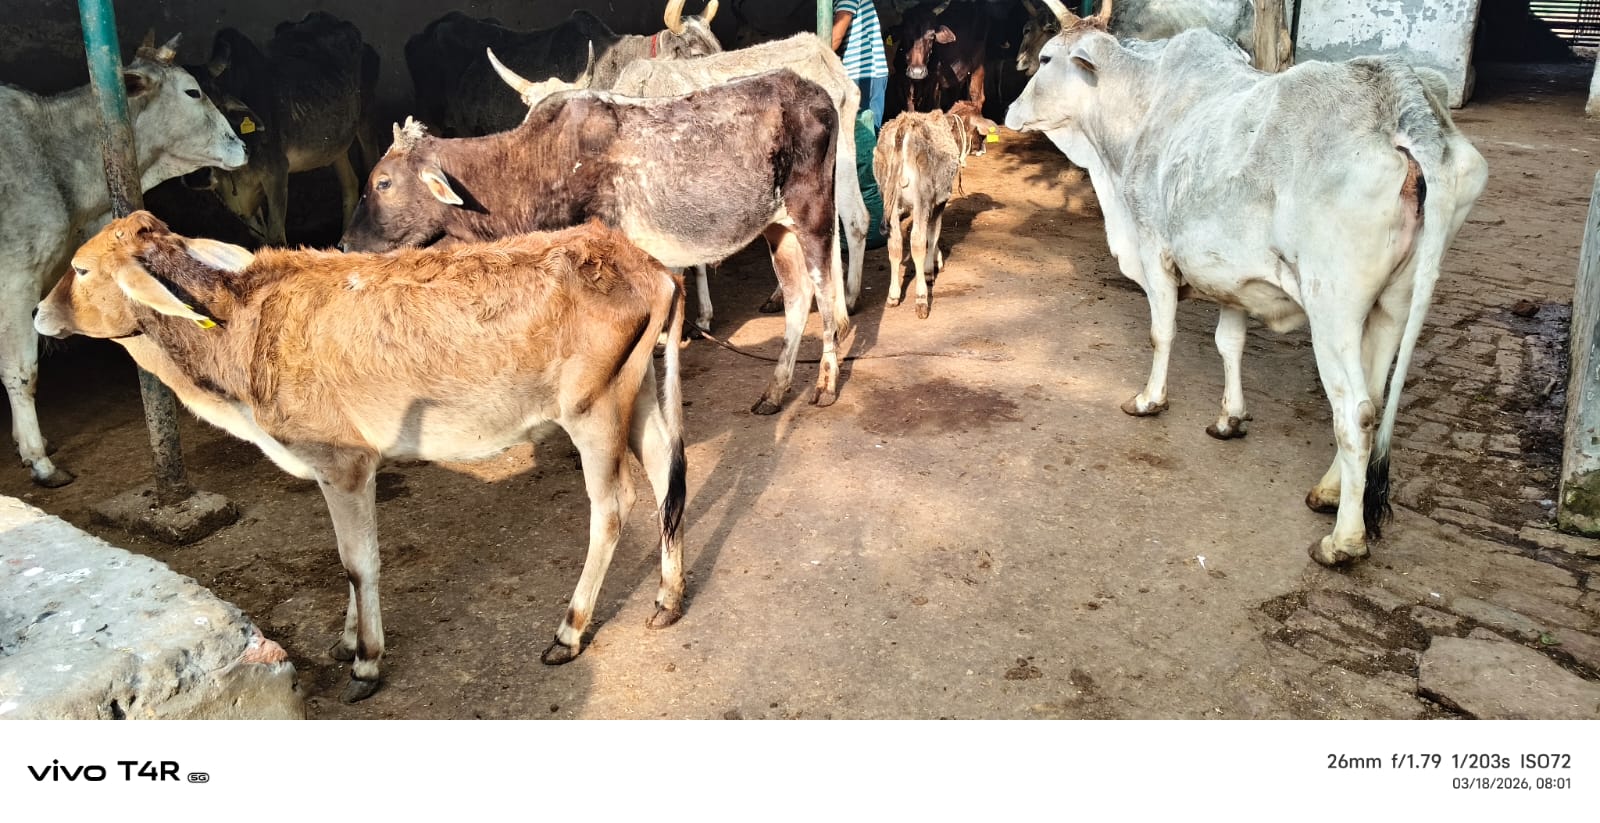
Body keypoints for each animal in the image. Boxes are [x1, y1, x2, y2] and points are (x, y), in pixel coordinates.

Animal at [35, 211, 689, 703]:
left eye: (80, 268)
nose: (38, 313)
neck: (240, 330)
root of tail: (650, 266)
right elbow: (347, 561)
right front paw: (349, 639)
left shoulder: (343, 464)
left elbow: (357, 563)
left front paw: (367, 662)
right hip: (635, 397)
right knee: (666, 475)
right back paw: (667, 598)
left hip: (593, 409)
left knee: (614, 505)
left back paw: (570, 631)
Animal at [183, 13, 378, 244]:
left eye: (217, 108)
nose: (197, 175)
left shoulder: (276, 174)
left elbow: (276, 238)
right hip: (336, 143)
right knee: (350, 184)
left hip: (365, 120)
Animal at [340, 69, 848, 416]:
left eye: (383, 182)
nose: (344, 244)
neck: (536, 163)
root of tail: (813, 90)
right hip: (777, 227)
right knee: (797, 296)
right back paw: (775, 391)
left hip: (813, 214)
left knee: (825, 291)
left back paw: (824, 384)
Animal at [874, 101, 996, 319]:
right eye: (980, 134)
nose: (983, 148)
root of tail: (904, 125)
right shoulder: (939, 200)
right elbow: (933, 233)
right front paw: (930, 269)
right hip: (920, 198)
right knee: (917, 242)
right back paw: (922, 299)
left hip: (889, 200)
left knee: (894, 245)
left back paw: (893, 295)